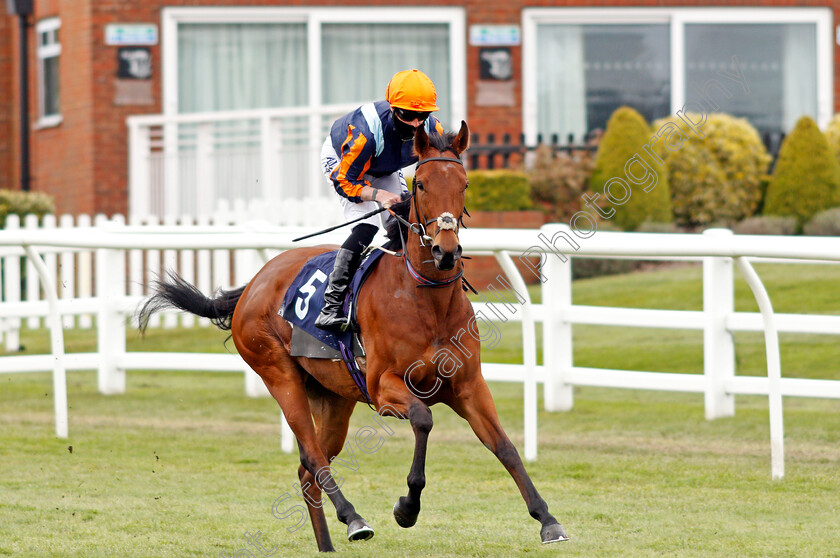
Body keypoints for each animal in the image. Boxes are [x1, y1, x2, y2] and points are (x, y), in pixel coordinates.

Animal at [139, 120, 572, 552]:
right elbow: (424, 418)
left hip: (333, 398)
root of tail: (254, 283)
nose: (446, 251)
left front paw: (548, 520)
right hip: (279, 376)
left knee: (307, 470)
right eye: (421, 185)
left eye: (464, 184)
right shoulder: (383, 388)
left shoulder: (468, 385)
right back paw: (353, 519)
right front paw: (406, 508)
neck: (424, 298)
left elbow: (505, 447)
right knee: (314, 458)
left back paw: (327, 545)